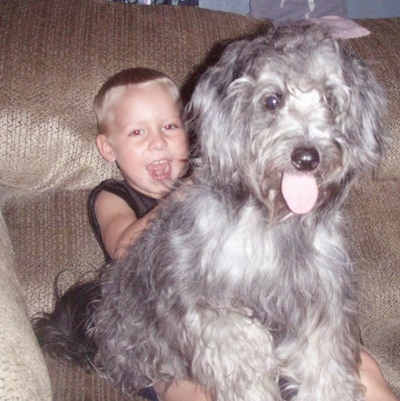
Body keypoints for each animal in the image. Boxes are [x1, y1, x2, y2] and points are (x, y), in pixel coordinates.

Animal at [93, 23, 384, 398]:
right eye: (272, 100)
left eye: (331, 101)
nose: (307, 158)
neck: (273, 221)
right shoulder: (211, 306)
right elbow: (247, 357)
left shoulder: (319, 304)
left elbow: (326, 373)